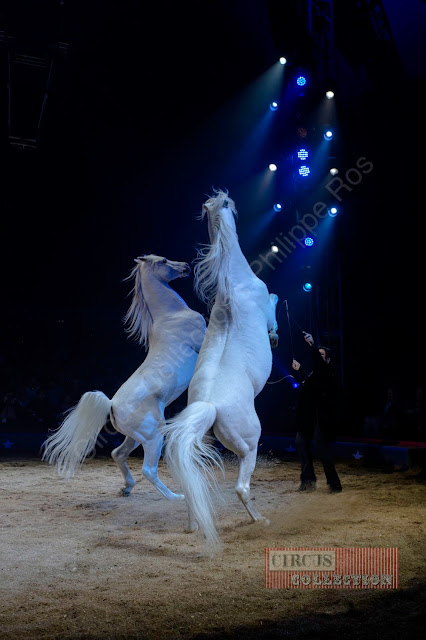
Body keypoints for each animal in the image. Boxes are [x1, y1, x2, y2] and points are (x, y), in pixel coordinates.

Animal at [42, 254, 206, 500]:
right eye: (164, 261)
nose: (186, 267)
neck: (171, 316)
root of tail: (111, 404)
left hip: (135, 437)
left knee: (117, 454)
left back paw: (127, 488)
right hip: (153, 436)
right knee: (148, 469)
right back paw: (176, 497)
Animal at [161, 190, 278, 552]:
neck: (233, 286)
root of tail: (209, 405)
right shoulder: (265, 301)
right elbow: (274, 300)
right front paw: (275, 335)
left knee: (193, 483)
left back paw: (193, 525)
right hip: (249, 444)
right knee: (242, 487)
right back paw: (259, 520)